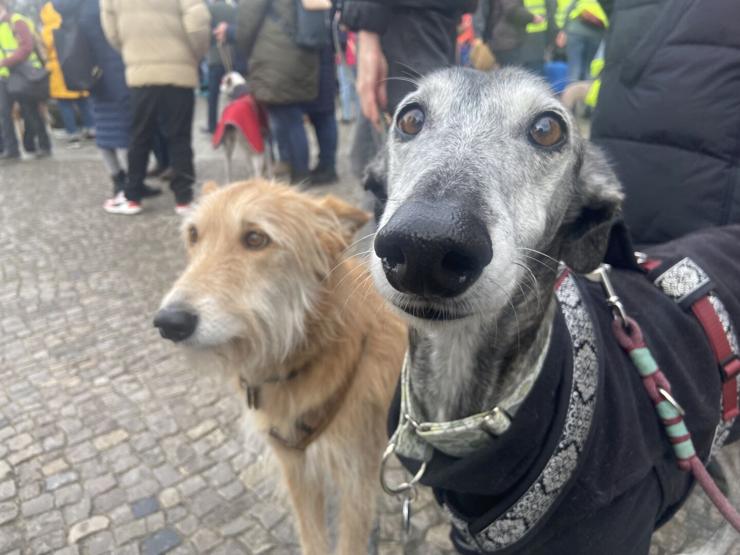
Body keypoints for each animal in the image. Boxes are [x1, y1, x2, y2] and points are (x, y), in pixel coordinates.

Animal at [155, 180, 408, 552]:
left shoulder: (357, 480)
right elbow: (313, 539)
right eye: (193, 235)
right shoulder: (297, 468)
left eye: (255, 238)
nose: (169, 322)